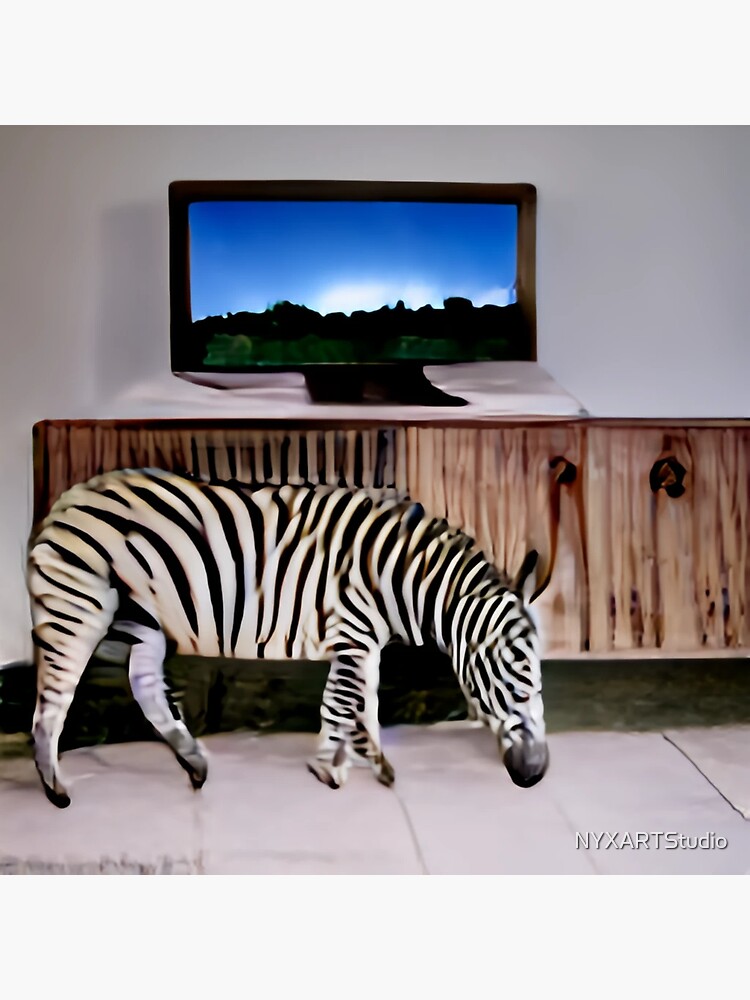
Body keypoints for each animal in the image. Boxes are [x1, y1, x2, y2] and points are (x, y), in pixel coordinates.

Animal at [27, 467, 549, 807]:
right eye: (517, 681)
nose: (537, 774)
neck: (396, 578)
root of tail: (66, 497)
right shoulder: (351, 633)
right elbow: (340, 704)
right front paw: (328, 769)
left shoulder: (363, 643)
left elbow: (366, 704)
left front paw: (371, 761)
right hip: (79, 608)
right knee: (52, 704)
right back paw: (55, 790)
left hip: (144, 617)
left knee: (145, 687)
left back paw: (194, 763)